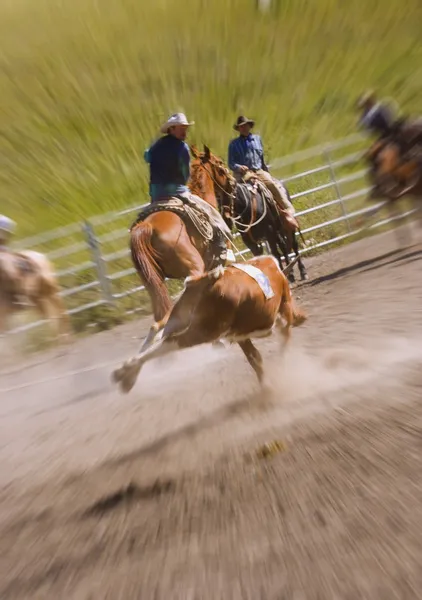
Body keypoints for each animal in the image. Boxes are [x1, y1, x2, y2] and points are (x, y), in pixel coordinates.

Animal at [112, 255, 304, 396]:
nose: (301, 317)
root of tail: (208, 279)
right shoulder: (283, 314)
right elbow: (282, 343)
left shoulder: (241, 337)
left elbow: (255, 358)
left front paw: (266, 385)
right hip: (205, 330)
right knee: (170, 341)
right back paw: (123, 373)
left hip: (179, 317)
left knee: (158, 332)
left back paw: (126, 376)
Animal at [129, 146, 234, 352]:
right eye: (220, 163)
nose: (232, 181)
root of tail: (147, 226)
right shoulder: (215, 259)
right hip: (194, 266)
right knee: (191, 286)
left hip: (152, 280)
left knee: (162, 313)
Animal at [195, 147, 310, 284]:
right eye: (217, 198)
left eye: (227, 195)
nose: (225, 217)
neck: (247, 205)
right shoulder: (249, 240)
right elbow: (260, 257)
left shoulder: (269, 233)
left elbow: (275, 254)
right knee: (283, 246)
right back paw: (291, 274)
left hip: (286, 227)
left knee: (293, 245)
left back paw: (302, 271)